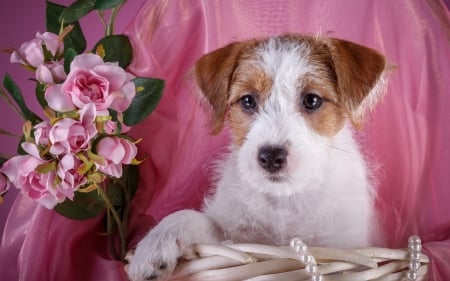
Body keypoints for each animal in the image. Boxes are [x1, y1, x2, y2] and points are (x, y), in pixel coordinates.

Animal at [126, 33, 386, 280]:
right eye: (248, 100)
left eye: (312, 100)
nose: (271, 156)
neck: (285, 199)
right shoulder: (235, 238)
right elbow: (191, 218)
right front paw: (154, 245)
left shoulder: (344, 245)